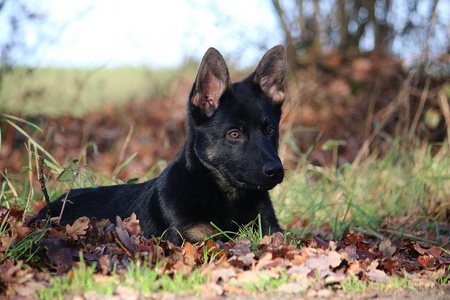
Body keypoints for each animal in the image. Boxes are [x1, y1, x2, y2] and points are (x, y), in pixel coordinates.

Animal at [31, 45, 286, 245]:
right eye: (234, 134)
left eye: (270, 130)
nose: (276, 170)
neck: (228, 196)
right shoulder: (192, 237)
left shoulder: (272, 231)